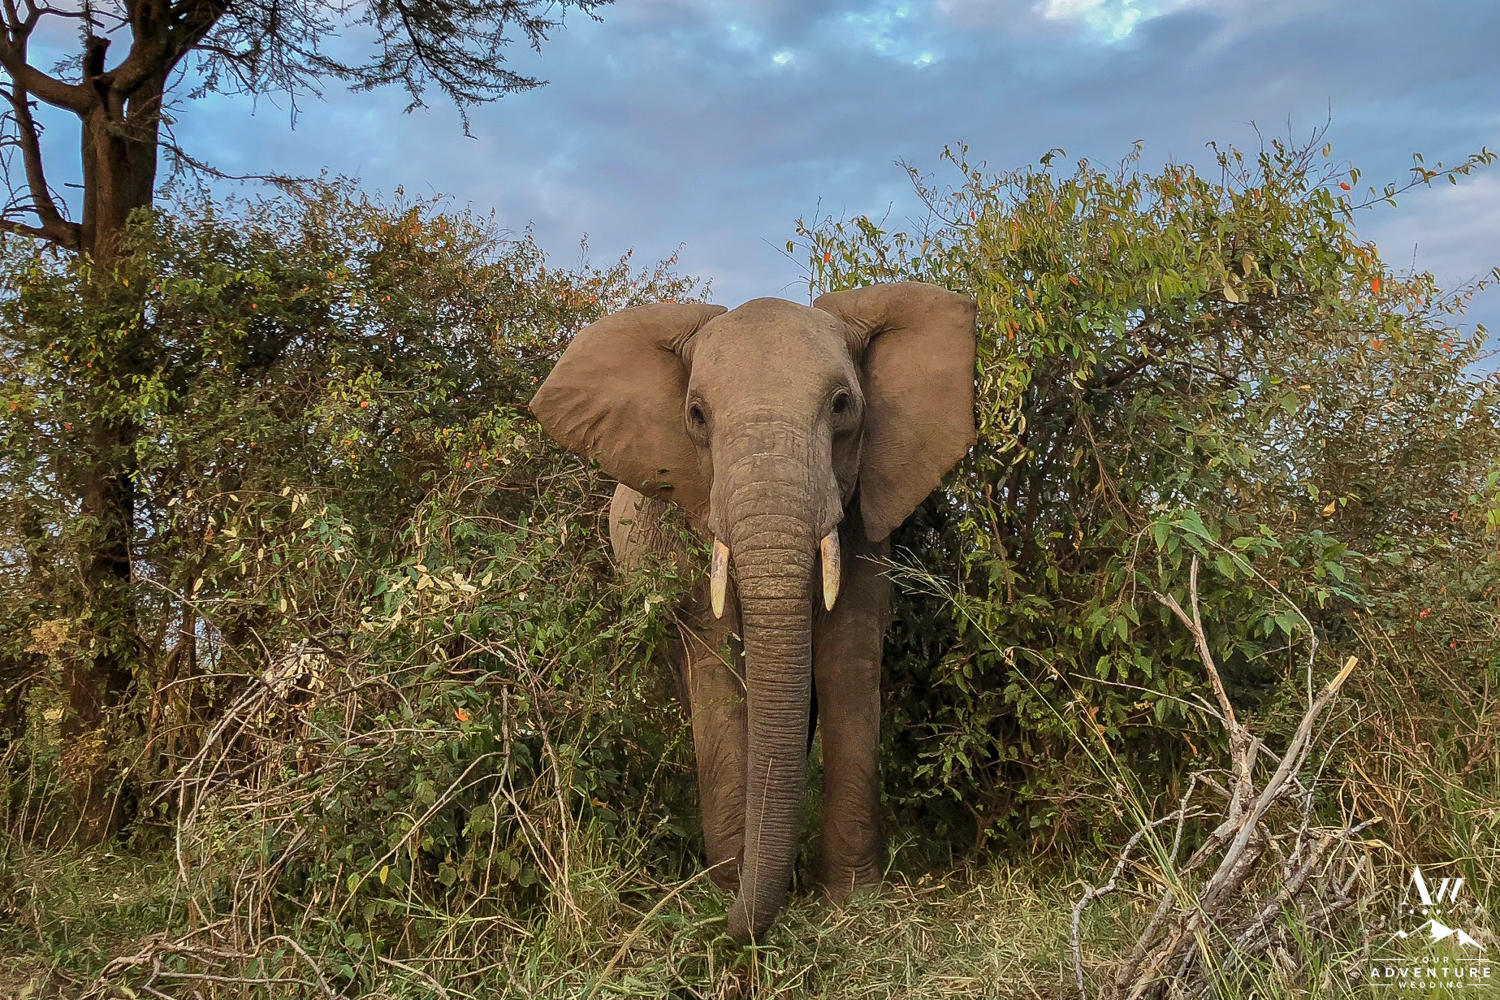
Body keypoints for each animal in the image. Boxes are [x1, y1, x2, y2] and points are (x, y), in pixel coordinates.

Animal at [529, 281, 977, 941]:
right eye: (696, 416)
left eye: (842, 405)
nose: (725, 927)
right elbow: (717, 664)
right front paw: (724, 888)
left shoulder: (862, 515)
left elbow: (848, 654)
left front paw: (850, 900)